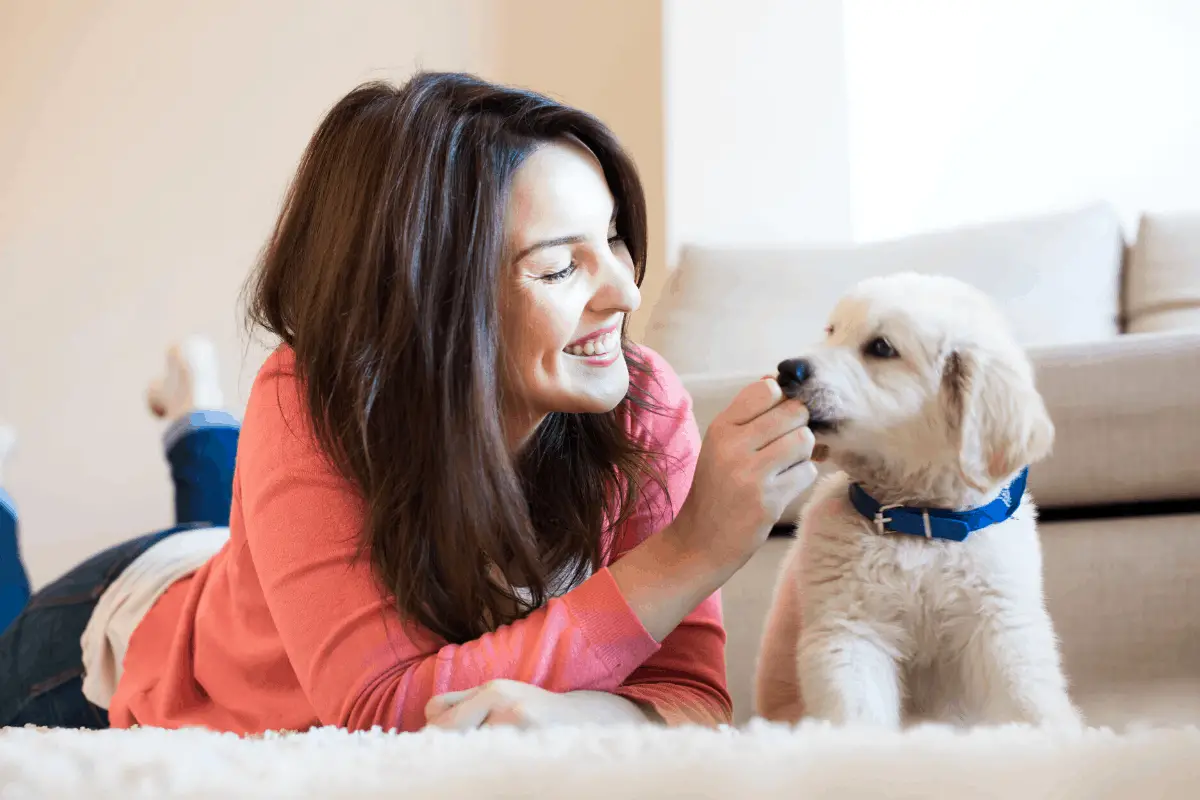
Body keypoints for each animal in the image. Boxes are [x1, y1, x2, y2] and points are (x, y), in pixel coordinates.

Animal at [758, 275, 1089, 734]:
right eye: (831, 331)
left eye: (881, 348)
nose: (787, 369)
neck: (920, 521)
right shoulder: (850, 630)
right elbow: (857, 713)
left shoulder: (1000, 623)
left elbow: (1027, 699)